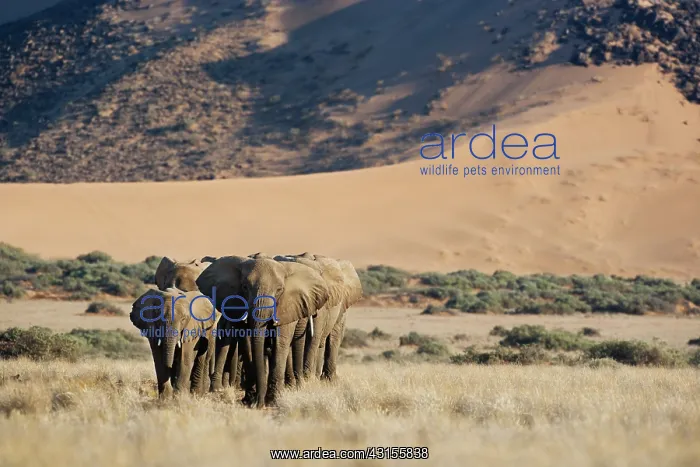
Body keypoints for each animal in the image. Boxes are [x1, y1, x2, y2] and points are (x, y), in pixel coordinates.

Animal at [196, 256, 329, 408]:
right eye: (245, 287)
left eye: (279, 290)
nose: (258, 403)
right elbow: (247, 343)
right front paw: (249, 399)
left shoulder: (288, 306)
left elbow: (280, 342)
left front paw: (273, 400)